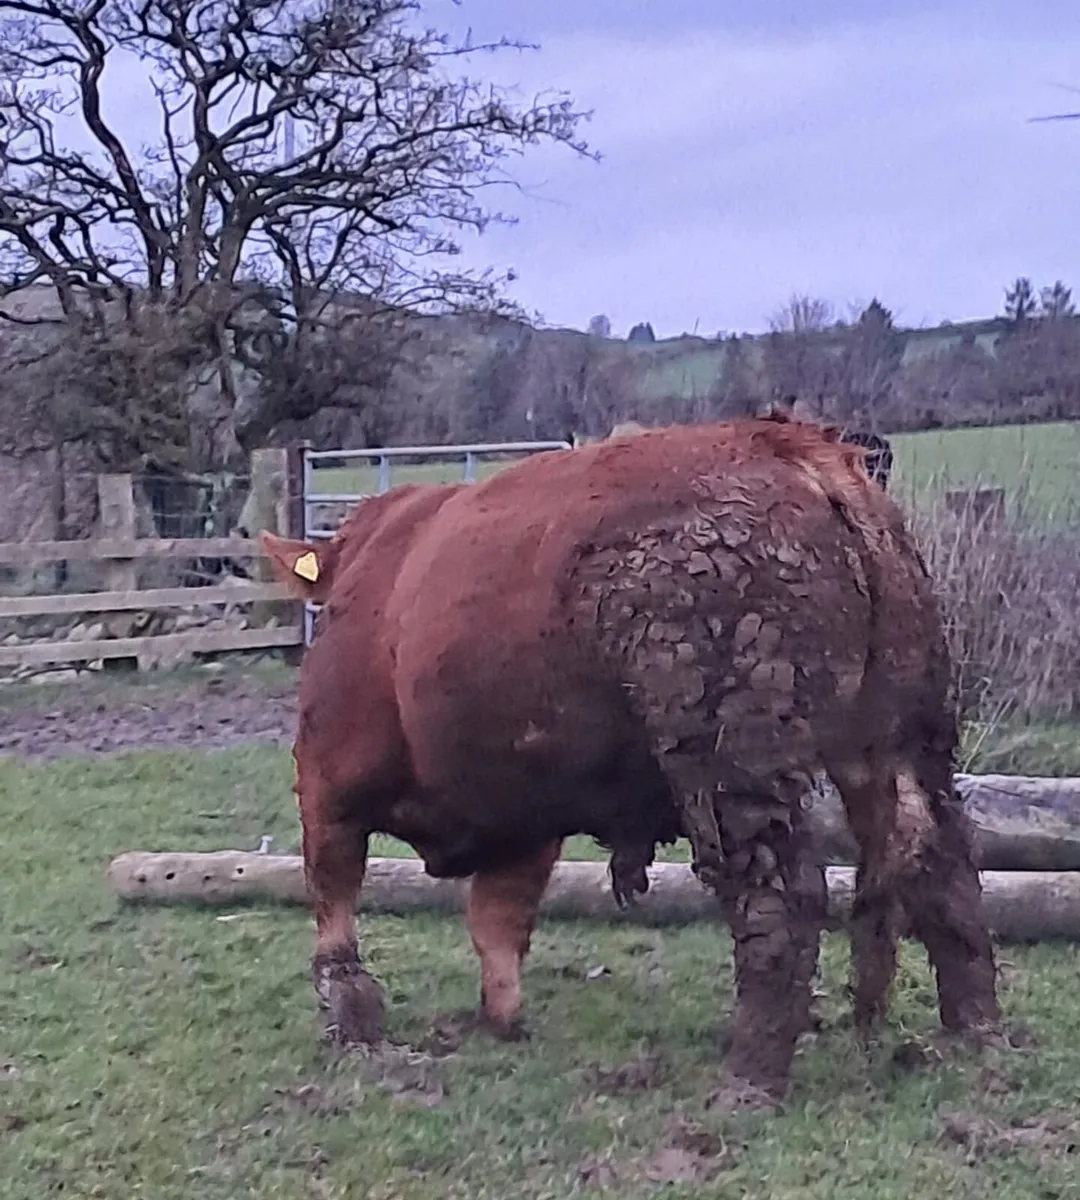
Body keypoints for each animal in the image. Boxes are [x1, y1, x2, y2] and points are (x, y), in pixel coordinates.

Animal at [262, 414, 999, 1104]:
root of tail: (799, 451)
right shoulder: (527, 816)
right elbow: (498, 923)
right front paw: (501, 1021)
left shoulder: (326, 780)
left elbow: (335, 902)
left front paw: (353, 1020)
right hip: (905, 735)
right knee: (944, 865)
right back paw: (974, 1034)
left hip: (733, 762)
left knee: (782, 900)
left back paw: (750, 1078)